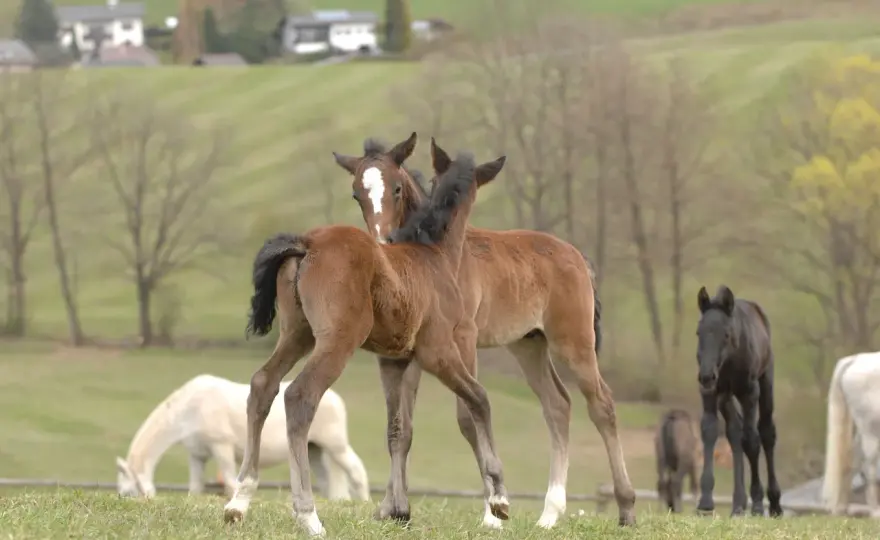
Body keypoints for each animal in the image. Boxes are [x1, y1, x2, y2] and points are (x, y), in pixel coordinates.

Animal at [115, 374, 369, 501]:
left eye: (127, 493)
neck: (191, 407)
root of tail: (333, 398)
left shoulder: (222, 447)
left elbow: (229, 482)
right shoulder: (197, 455)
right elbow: (195, 488)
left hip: (335, 446)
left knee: (356, 471)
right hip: (314, 449)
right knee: (327, 481)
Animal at [223, 141, 511, 536]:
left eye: (397, 189)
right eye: (357, 193)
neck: (433, 255)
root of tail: (307, 241)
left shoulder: (395, 359)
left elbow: (398, 429)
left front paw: (397, 510)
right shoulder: (438, 350)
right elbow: (479, 400)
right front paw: (498, 499)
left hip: (297, 334)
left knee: (263, 383)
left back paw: (238, 503)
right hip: (337, 340)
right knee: (300, 396)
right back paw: (308, 515)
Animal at [332, 134, 636, 529]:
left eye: (397, 189)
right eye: (356, 194)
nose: (382, 244)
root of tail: (578, 257)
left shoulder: (464, 339)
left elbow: (466, 418)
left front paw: (492, 513)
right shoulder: (404, 354)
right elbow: (400, 429)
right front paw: (393, 509)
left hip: (574, 342)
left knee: (602, 405)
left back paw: (626, 507)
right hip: (528, 345)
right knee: (557, 405)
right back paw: (549, 514)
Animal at [695, 285, 782, 517]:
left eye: (725, 334)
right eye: (698, 333)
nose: (706, 376)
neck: (729, 361)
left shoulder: (749, 392)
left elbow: (751, 440)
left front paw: (759, 504)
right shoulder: (711, 393)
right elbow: (710, 432)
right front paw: (705, 501)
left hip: (766, 381)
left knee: (766, 432)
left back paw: (774, 503)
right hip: (725, 397)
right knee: (735, 430)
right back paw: (738, 504)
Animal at [822, 353, 880, 517]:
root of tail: (856, 360)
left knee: (852, 460)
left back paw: (841, 508)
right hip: (870, 431)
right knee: (869, 466)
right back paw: (875, 511)